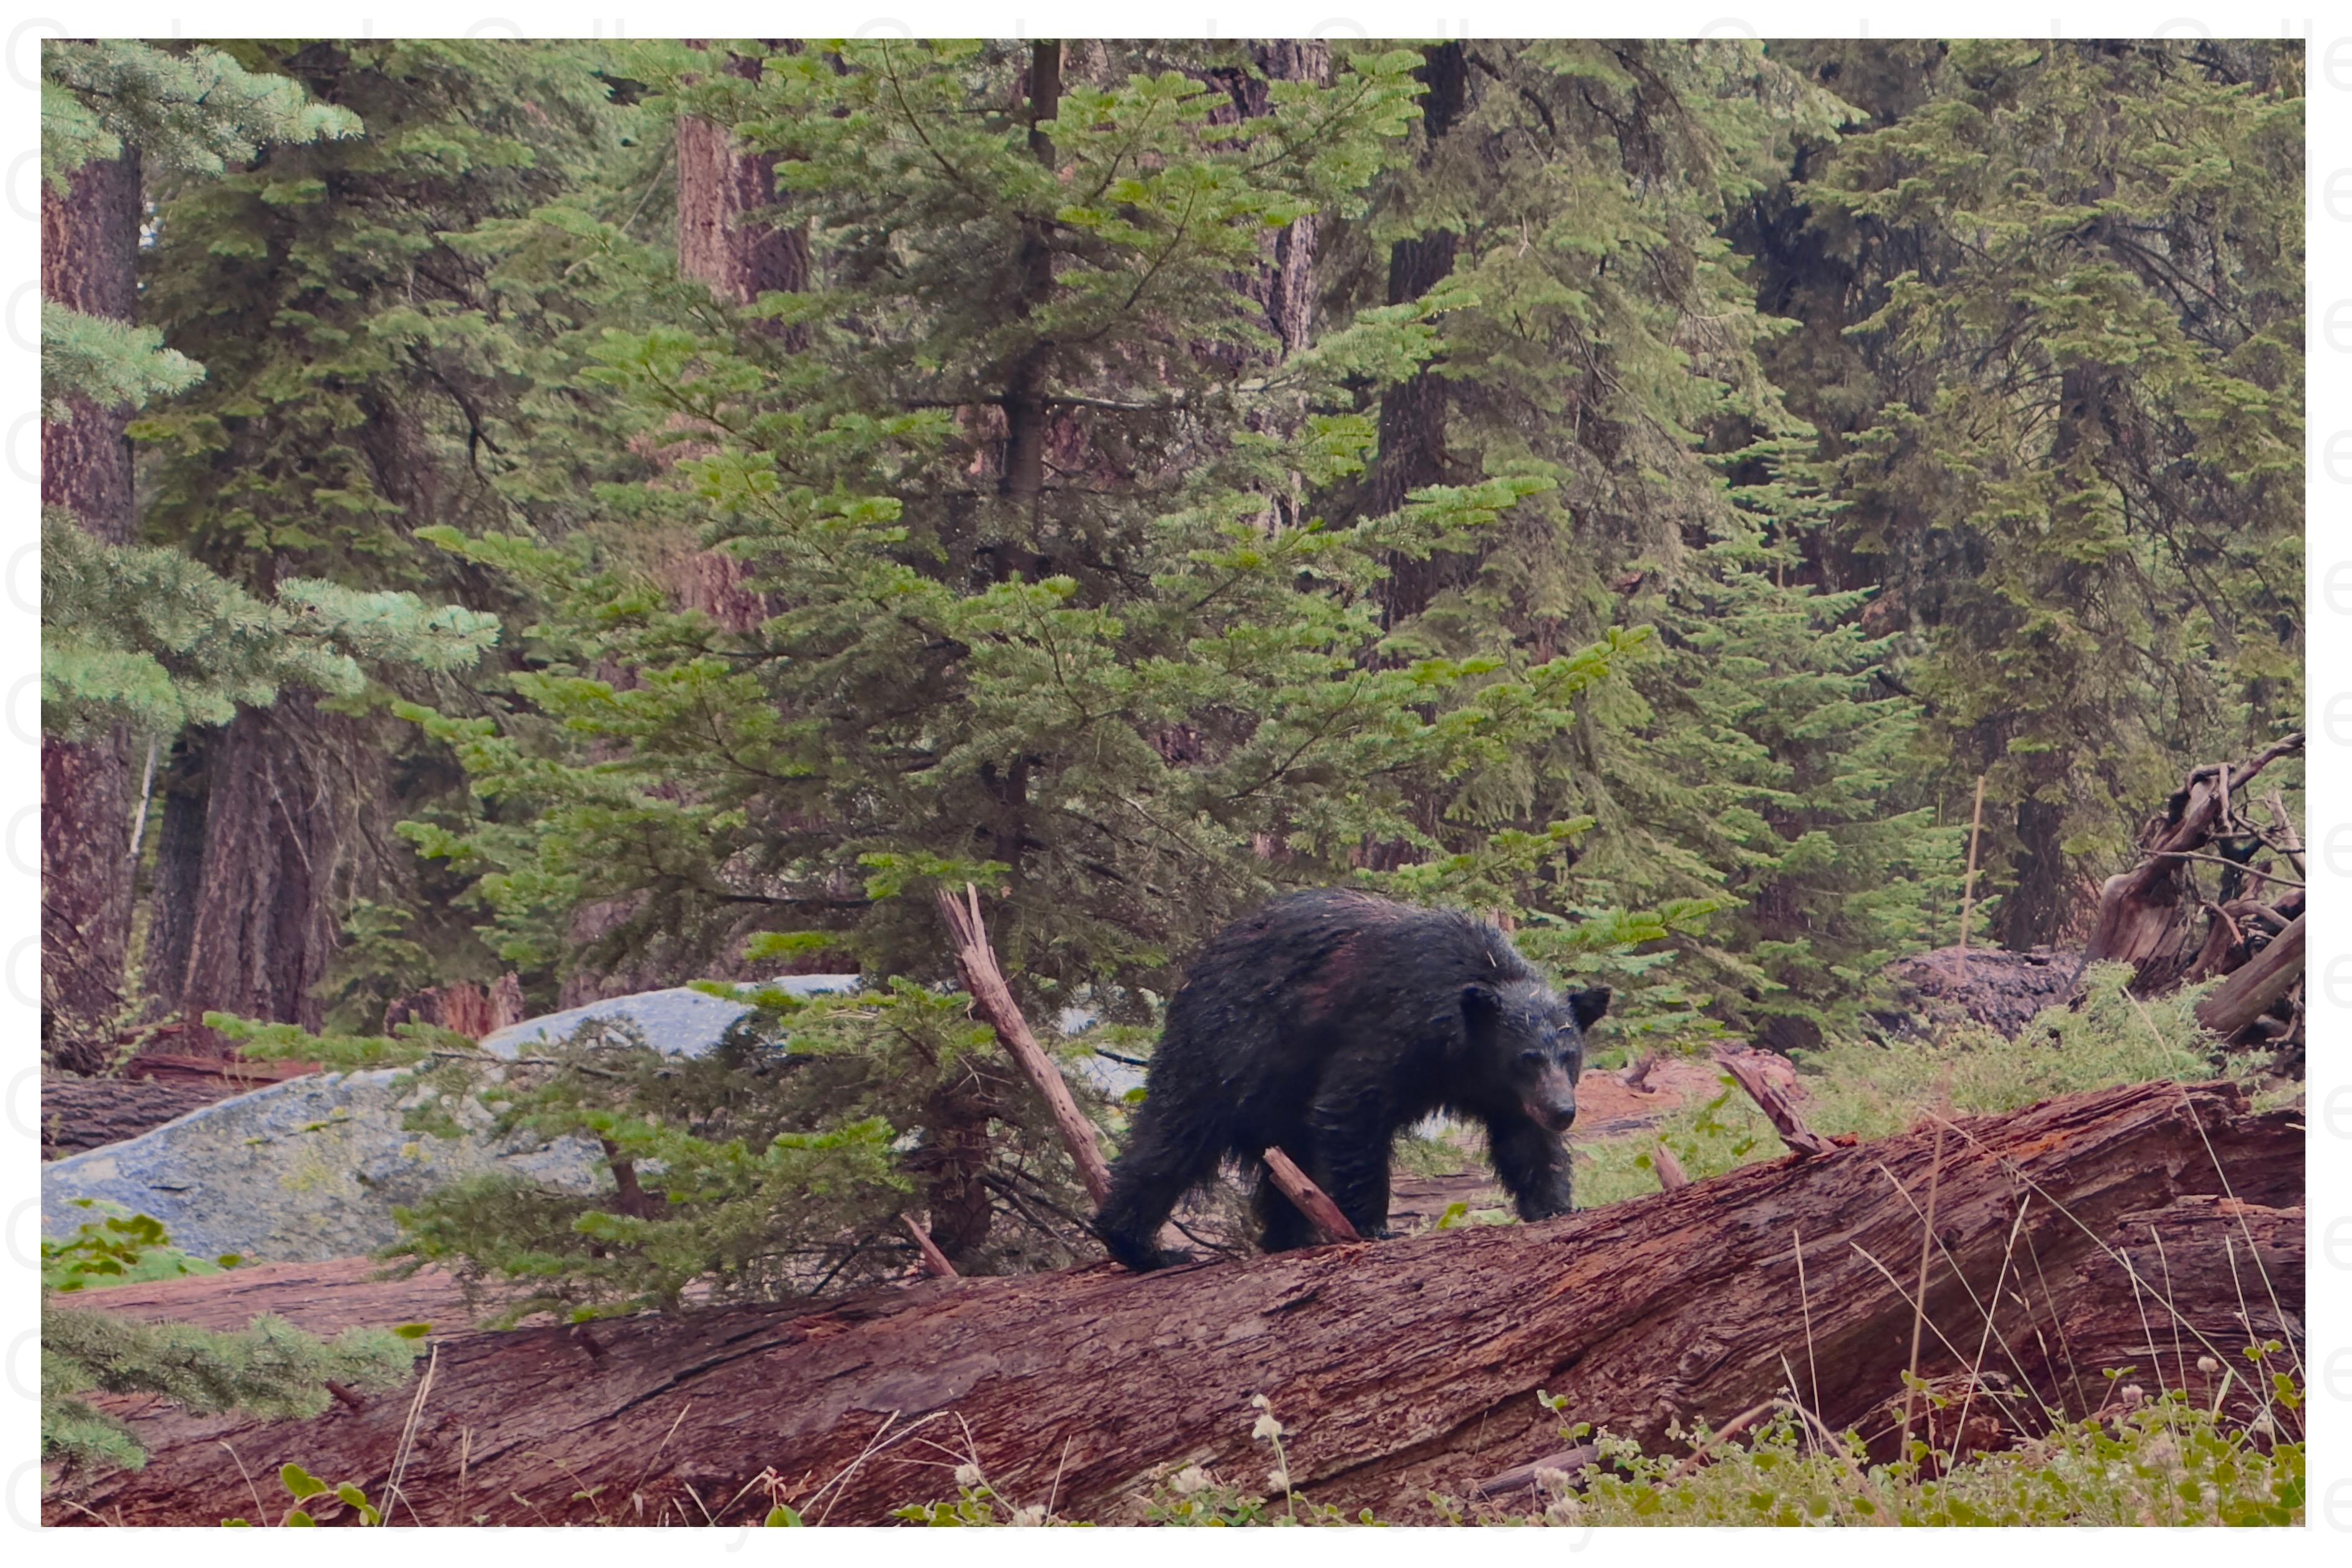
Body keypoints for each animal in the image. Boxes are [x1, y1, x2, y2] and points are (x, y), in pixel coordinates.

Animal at [1092, 888, 1609, 1271]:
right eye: (1526, 1057)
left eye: (1570, 1056)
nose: (1562, 1111)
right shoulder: (1388, 1029)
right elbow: (1352, 1109)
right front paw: (1374, 1225)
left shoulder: (1504, 1093)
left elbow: (1525, 1141)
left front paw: (1556, 1205)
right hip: (1225, 1051)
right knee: (1172, 1141)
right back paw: (1140, 1244)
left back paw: (1287, 1237)